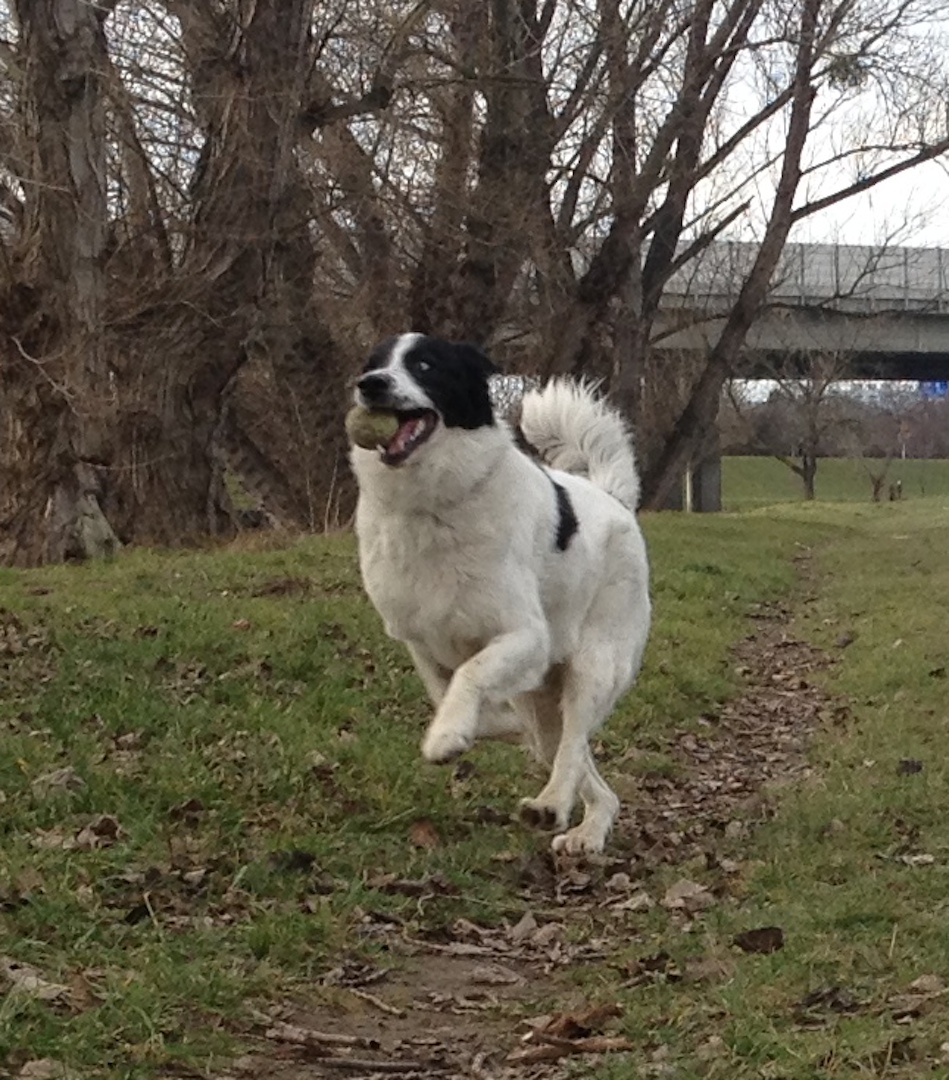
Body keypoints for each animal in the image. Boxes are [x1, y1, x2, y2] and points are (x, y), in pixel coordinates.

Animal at [349, 332, 652, 855]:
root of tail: (613, 498)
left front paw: (448, 736)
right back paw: (587, 827)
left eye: (425, 365)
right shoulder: (420, 640)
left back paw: (554, 804)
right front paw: (469, 727)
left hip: (594, 664)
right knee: (575, 759)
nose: (370, 384)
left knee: (573, 743)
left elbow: (469, 675)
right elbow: (449, 693)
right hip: (546, 696)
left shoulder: (526, 636)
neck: (431, 503)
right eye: (375, 363)